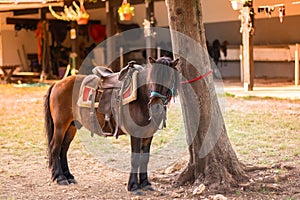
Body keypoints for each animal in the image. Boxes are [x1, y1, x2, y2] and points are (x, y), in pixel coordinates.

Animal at [43, 56, 179, 194]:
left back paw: (68, 176)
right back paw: (60, 178)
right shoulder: (136, 134)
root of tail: (57, 84)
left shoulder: (148, 134)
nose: (156, 107)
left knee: (64, 149)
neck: (141, 97)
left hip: (71, 126)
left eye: (170, 79)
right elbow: (135, 159)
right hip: (60, 125)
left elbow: (145, 158)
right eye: (151, 78)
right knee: (55, 147)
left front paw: (145, 183)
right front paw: (134, 186)